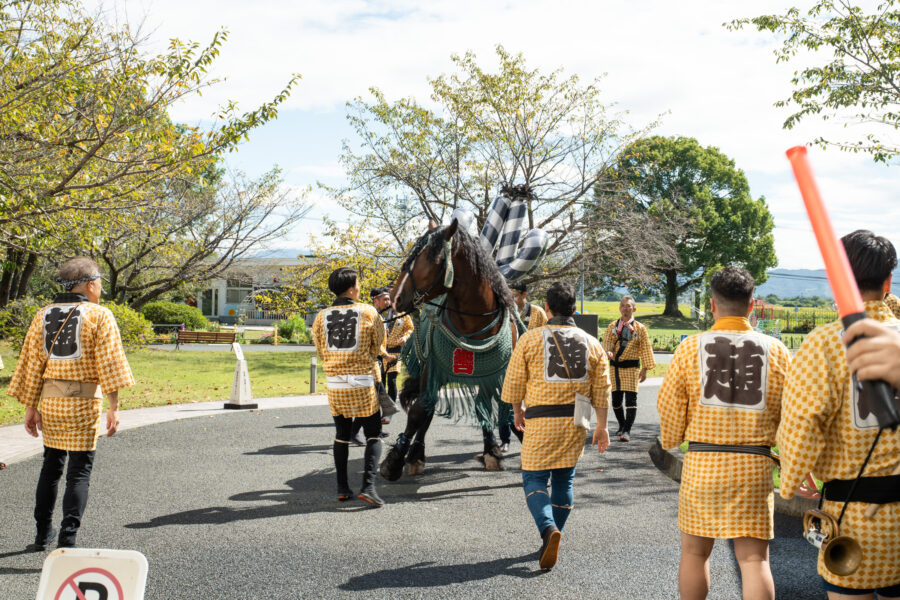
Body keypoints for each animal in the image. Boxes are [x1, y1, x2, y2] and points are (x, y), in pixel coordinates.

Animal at [378, 218, 520, 480]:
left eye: (427, 257)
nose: (394, 297)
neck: (473, 325)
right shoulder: (432, 369)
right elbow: (419, 412)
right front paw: (394, 460)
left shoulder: (492, 374)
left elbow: (483, 407)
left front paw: (492, 450)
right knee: (426, 408)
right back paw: (416, 454)